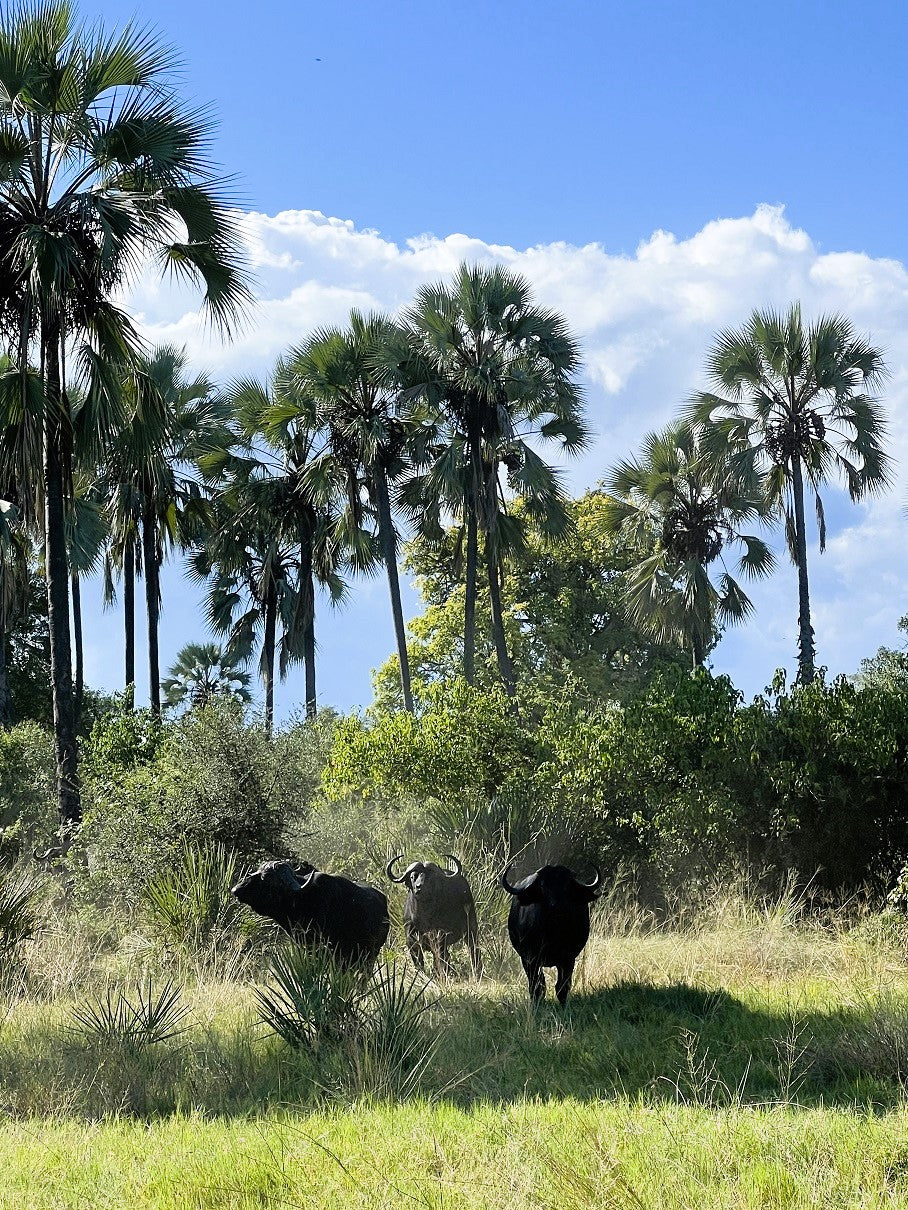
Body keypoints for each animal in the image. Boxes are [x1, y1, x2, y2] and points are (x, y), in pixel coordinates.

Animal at [502, 861, 602, 1004]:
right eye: (543, 885)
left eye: (567, 884)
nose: (557, 906)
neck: (552, 932)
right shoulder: (530, 959)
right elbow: (537, 986)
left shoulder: (568, 958)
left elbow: (562, 987)